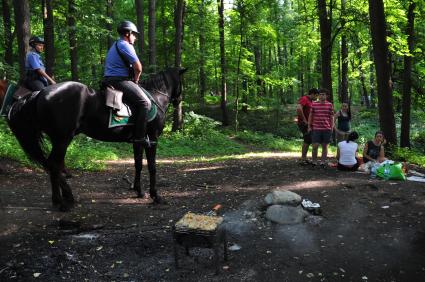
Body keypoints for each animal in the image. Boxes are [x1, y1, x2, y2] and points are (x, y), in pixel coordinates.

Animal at [0, 67, 186, 210]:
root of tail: (39, 94)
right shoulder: (152, 139)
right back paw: (63, 201)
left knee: (53, 165)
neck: (155, 97)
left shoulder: (139, 141)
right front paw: (156, 196)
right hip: (62, 138)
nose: (179, 101)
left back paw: (62, 198)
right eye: (181, 82)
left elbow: (138, 165)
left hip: (57, 139)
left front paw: (139, 191)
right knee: (54, 164)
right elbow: (152, 167)